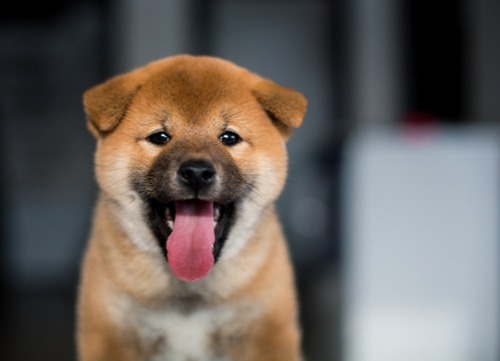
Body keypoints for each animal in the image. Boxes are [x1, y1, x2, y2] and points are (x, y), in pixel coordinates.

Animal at [76, 54, 306, 358]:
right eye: (160, 137)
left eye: (229, 137)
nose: (196, 172)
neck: (188, 290)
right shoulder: (110, 335)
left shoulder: (266, 335)